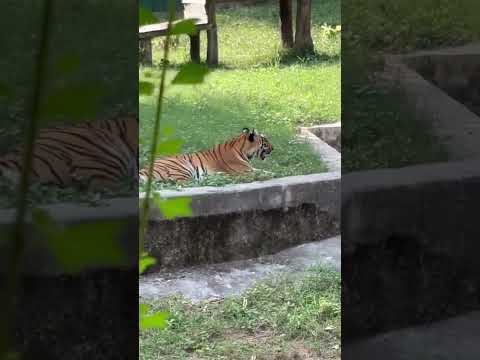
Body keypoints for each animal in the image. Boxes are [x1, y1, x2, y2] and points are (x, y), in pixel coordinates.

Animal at [140, 127, 274, 183]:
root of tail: (144, 169)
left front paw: (274, 173)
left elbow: (264, 171)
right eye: (266, 141)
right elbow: (260, 173)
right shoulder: (244, 172)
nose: (274, 148)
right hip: (183, 168)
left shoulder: (250, 168)